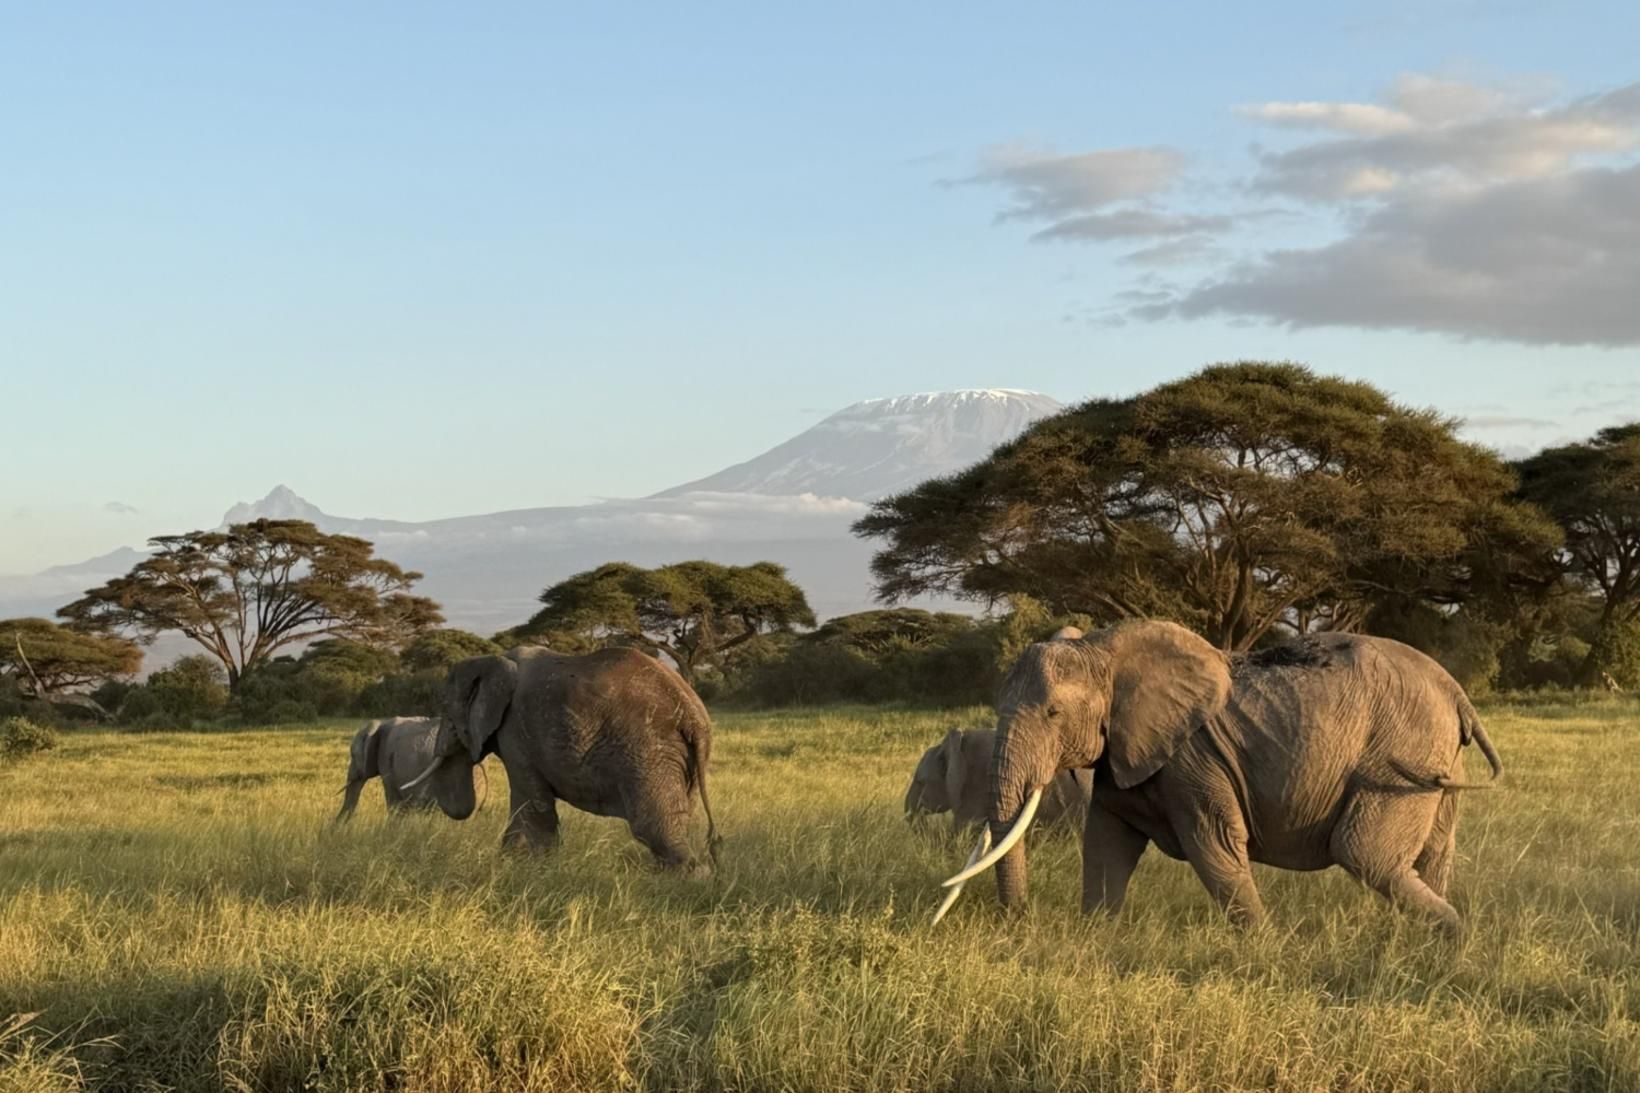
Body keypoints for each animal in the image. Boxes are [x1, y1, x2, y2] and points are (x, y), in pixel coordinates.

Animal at [398, 646, 718, 866]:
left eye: (445, 708)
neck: (495, 660)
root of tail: (695, 716)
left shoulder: (516, 731)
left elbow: (532, 804)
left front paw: (515, 866)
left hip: (648, 750)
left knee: (653, 827)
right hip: (676, 757)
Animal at [938, 617, 1502, 932]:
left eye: (1053, 713)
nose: (1018, 924)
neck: (1104, 650)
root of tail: (1456, 692)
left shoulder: (1192, 757)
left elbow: (1213, 843)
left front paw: (1265, 948)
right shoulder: (1124, 755)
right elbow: (1107, 844)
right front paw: (1097, 935)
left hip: (1402, 754)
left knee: (1365, 854)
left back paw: (1453, 934)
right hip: (1437, 757)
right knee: (1427, 856)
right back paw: (1420, 943)